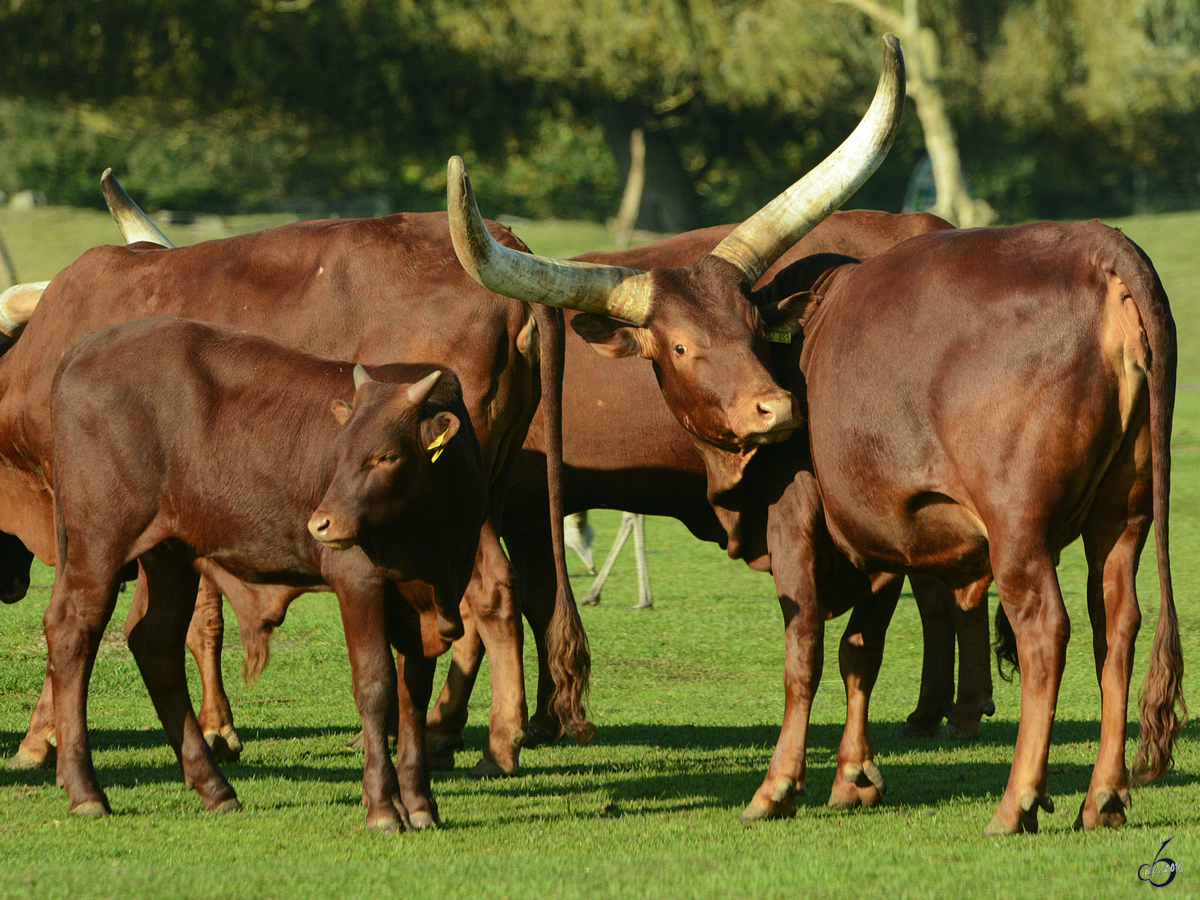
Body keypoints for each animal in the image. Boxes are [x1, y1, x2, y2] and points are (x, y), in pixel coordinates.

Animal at [46, 316, 487, 830]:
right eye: (338, 453)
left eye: (387, 455)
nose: (322, 523)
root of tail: (88, 345)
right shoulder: (359, 581)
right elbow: (376, 688)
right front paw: (383, 805)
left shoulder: (425, 601)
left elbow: (412, 693)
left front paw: (419, 803)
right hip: (99, 542)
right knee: (73, 634)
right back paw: (85, 790)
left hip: (169, 552)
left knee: (155, 643)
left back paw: (213, 787)